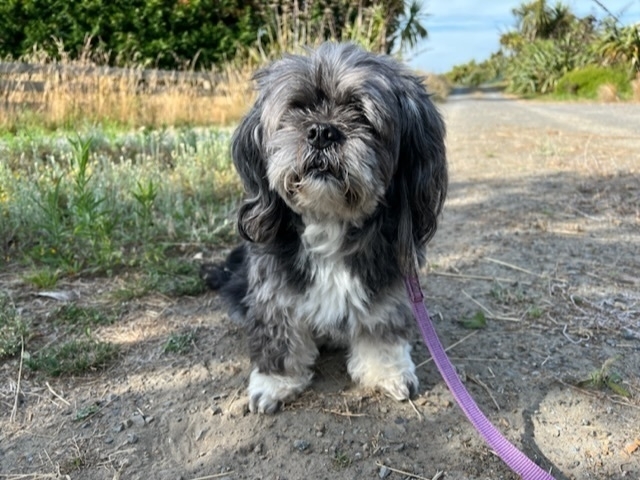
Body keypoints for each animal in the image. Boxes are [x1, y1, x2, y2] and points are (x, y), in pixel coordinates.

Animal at [202, 43, 448, 414]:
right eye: (296, 108)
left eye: (360, 112)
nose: (322, 131)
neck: (329, 221)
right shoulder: (274, 289)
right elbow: (278, 335)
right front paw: (275, 382)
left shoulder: (387, 282)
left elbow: (382, 327)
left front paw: (386, 370)